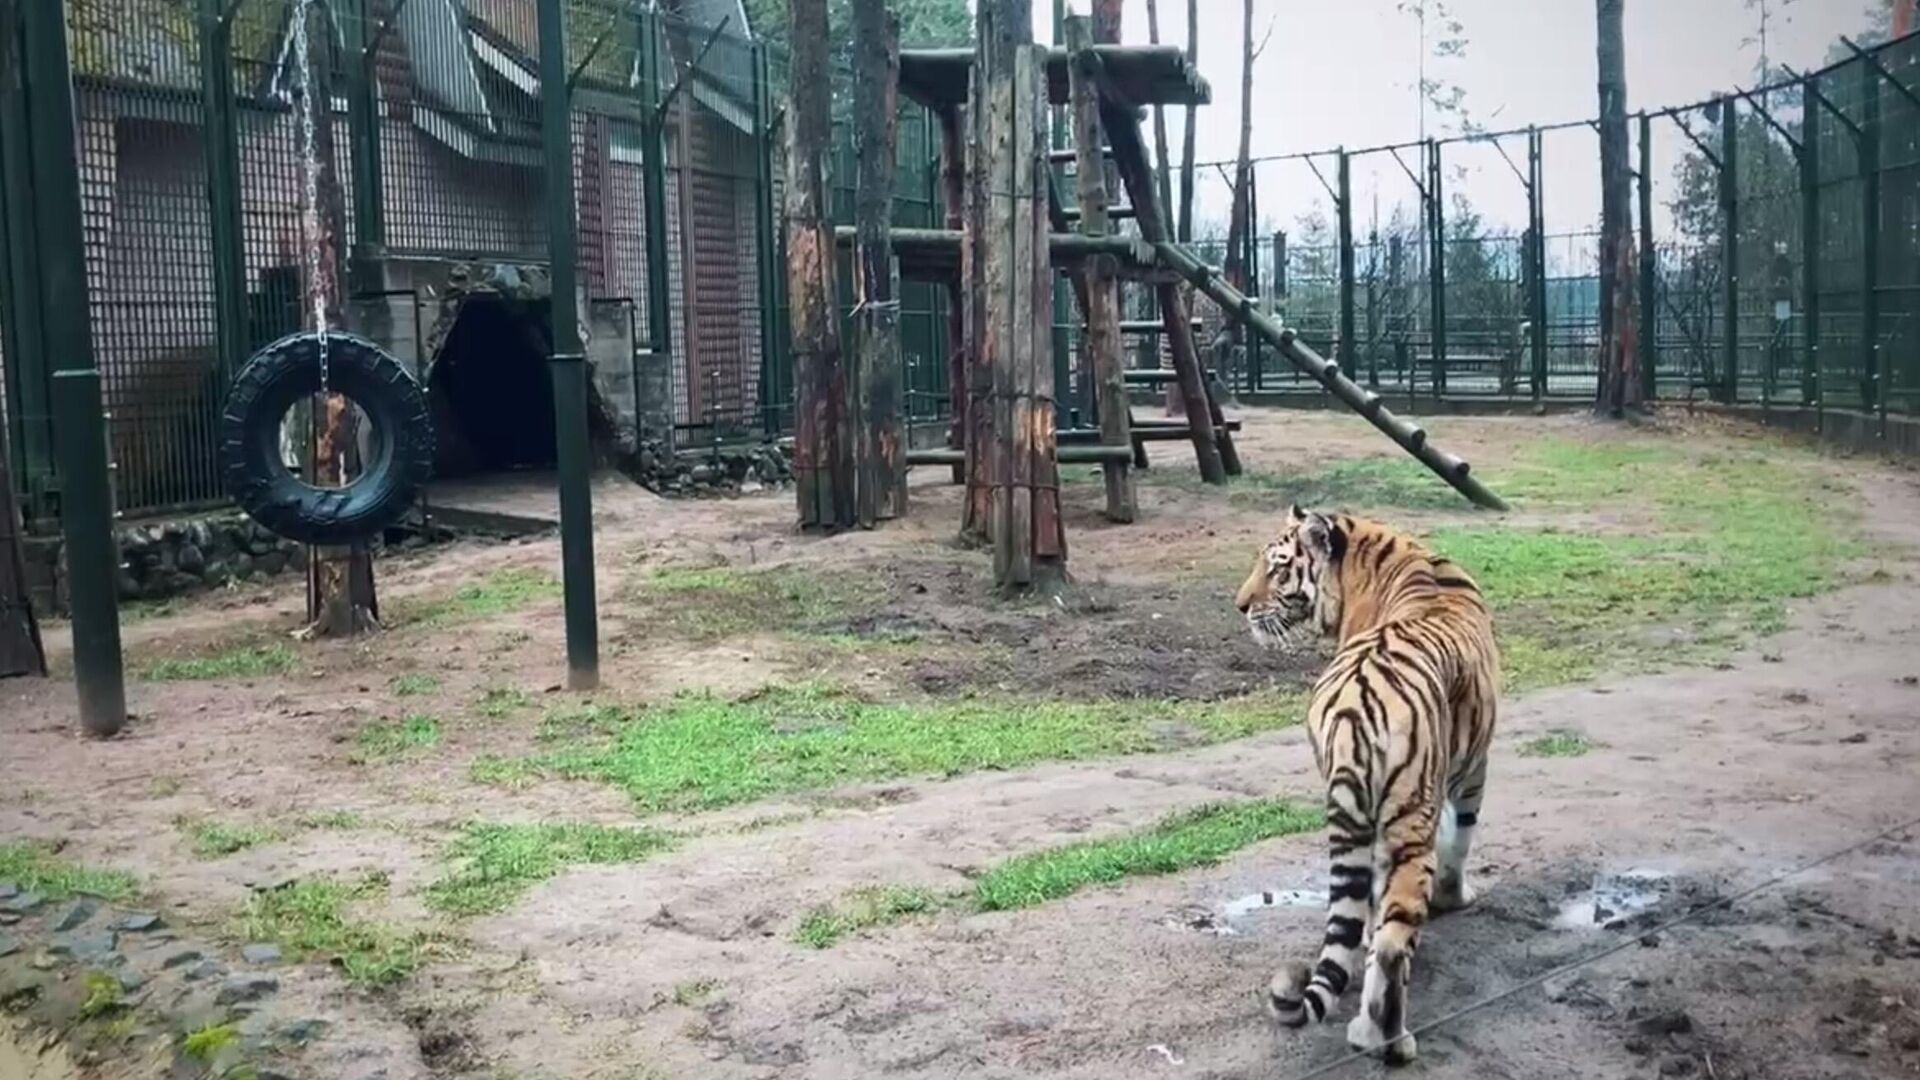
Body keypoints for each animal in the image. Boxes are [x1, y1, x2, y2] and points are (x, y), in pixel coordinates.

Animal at [1228, 503, 1497, 1060]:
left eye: (1277, 567)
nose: (1241, 606)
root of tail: (1355, 706)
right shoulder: (1473, 769)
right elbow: (1461, 841)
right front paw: (1457, 897)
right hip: (1408, 824)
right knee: (1396, 945)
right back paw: (1388, 1041)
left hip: (1355, 808)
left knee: (1365, 911)